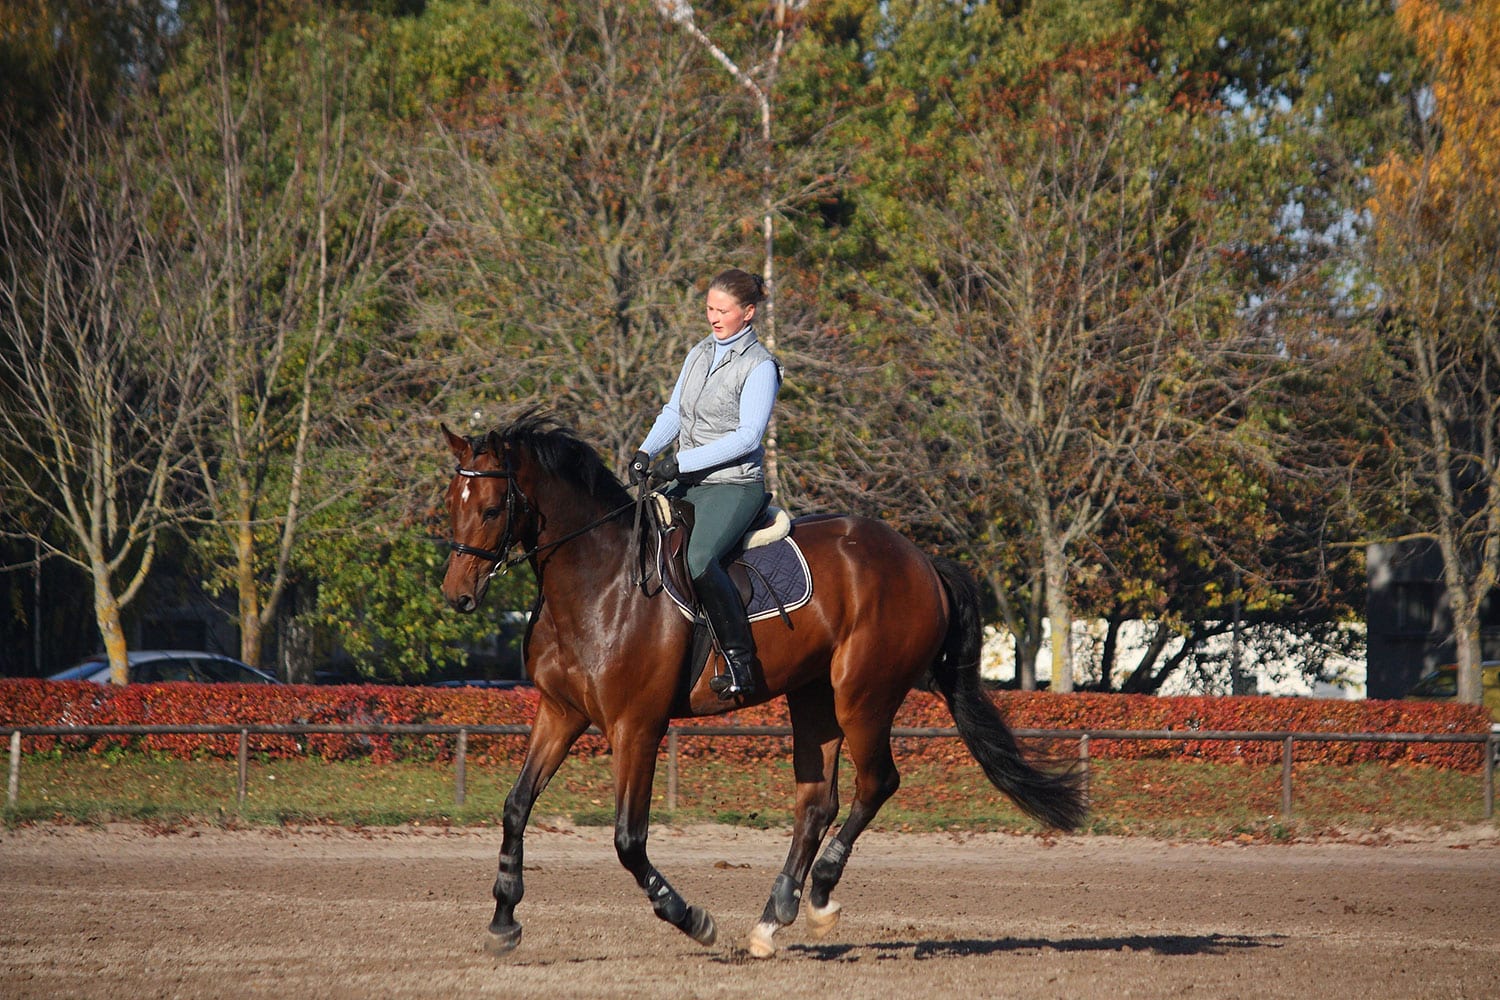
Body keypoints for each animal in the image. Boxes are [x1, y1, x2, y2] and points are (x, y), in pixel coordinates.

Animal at [438, 413, 1086, 959]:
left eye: (492, 508)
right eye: (452, 503)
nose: (457, 596)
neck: (600, 582)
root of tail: (922, 559)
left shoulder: (637, 727)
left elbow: (628, 840)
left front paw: (691, 917)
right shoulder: (559, 713)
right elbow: (516, 806)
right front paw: (503, 921)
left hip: (863, 695)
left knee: (876, 783)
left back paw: (818, 895)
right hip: (815, 697)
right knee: (817, 802)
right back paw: (774, 918)